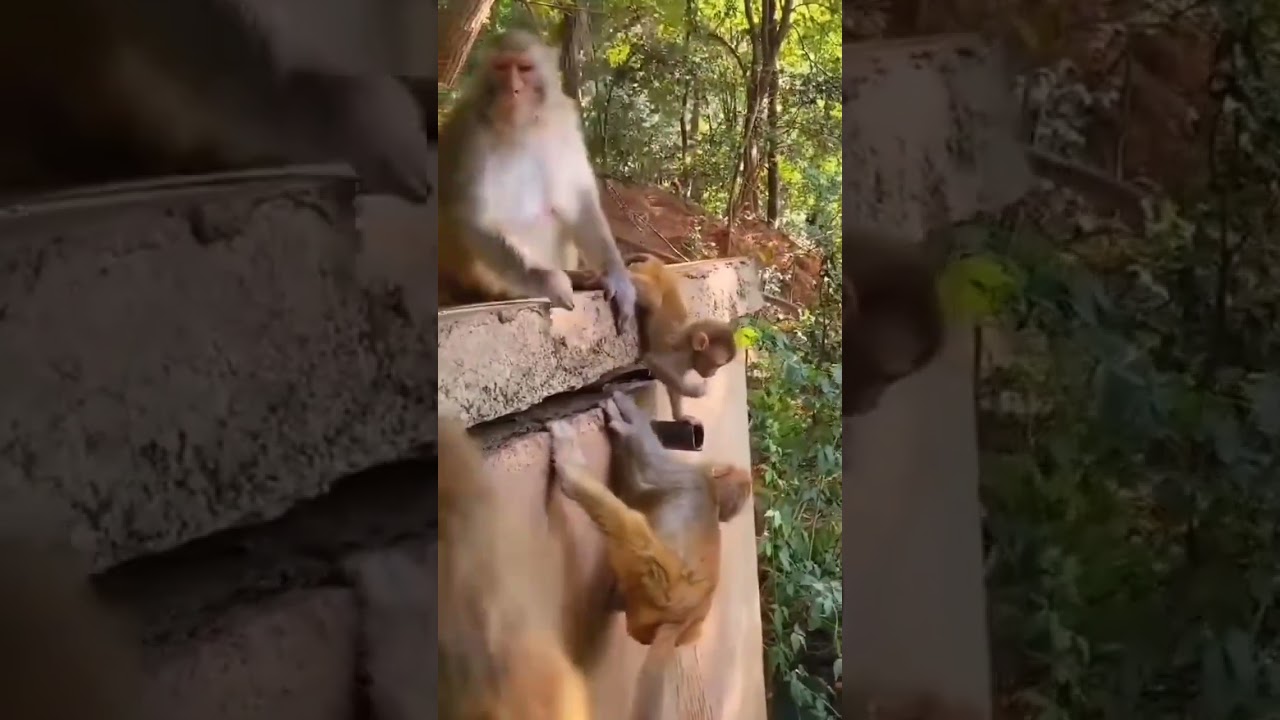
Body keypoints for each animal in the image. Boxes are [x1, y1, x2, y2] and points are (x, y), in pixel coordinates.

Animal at [437, 29, 638, 331]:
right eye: (501, 67)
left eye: (524, 68)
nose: (512, 89)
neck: (521, 126)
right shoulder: (472, 134)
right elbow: (472, 217)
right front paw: (549, 281)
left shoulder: (563, 121)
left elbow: (579, 200)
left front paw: (617, 278)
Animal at [547, 391, 753, 720]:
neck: (712, 494)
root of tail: (680, 621)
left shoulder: (684, 476)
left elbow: (644, 467)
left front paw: (628, 420)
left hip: (656, 583)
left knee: (630, 526)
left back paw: (571, 472)